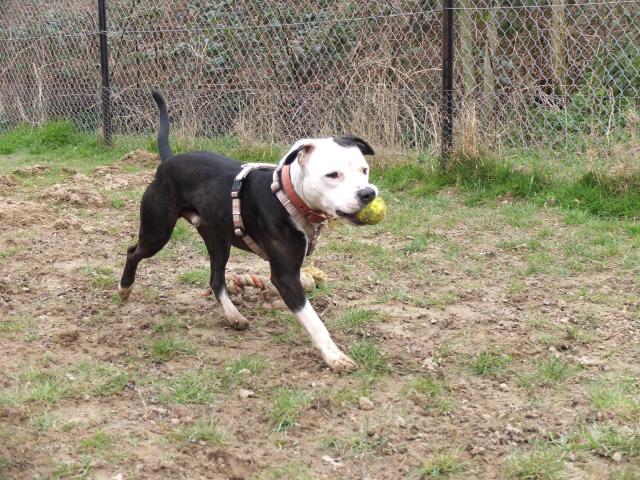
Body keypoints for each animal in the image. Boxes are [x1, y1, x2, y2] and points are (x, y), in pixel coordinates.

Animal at [117, 93, 378, 372]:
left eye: (364, 169)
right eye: (332, 175)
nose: (368, 193)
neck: (289, 197)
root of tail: (169, 161)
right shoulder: (285, 277)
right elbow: (313, 320)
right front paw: (334, 356)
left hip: (218, 241)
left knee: (216, 280)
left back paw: (233, 316)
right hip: (158, 232)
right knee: (133, 251)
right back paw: (125, 287)